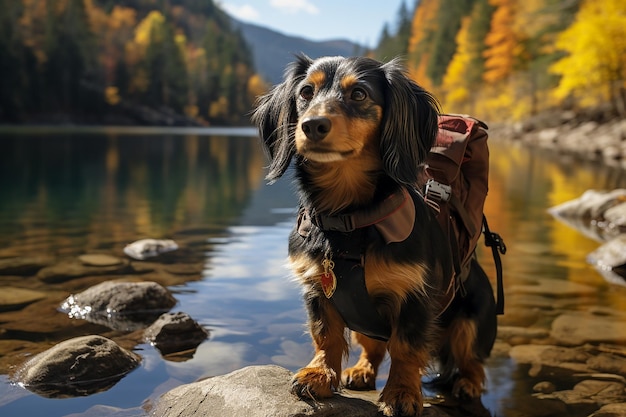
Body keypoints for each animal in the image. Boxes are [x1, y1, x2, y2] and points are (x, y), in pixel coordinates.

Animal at [249, 54, 492, 412]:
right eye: (306, 92)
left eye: (359, 94)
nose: (313, 126)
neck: (349, 218)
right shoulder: (316, 290)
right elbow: (326, 335)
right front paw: (320, 375)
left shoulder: (414, 296)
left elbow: (405, 347)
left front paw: (402, 392)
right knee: (373, 348)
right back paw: (362, 370)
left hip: (472, 320)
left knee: (471, 358)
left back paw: (468, 384)